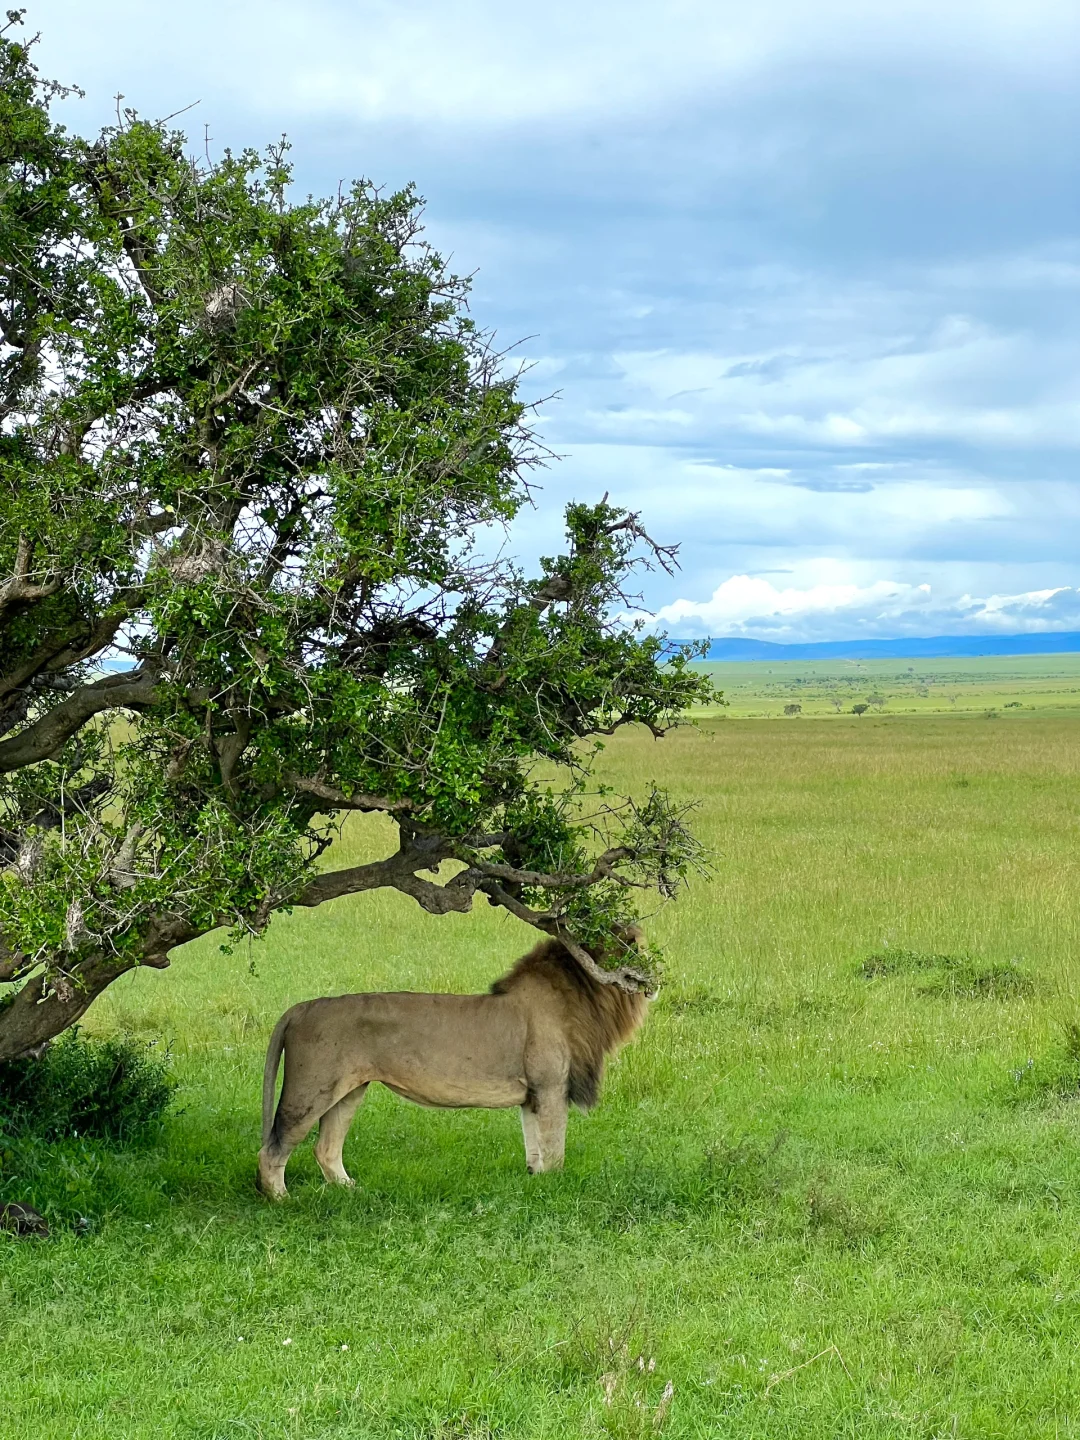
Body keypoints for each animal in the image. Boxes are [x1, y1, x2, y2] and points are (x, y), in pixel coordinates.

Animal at [260, 927, 650, 1198]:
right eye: (632, 947)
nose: (656, 972)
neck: (590, 996)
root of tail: (300, 1008)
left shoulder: (534, 1095)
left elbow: (534, 1144)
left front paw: (535, 1181)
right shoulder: (552, 1087)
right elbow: (554, 1146)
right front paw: (555, 1188)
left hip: (348, 1093)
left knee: (325, 1148)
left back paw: (349, 1189)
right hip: (310, 1090)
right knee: (272, 1148)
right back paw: (282, 1199)